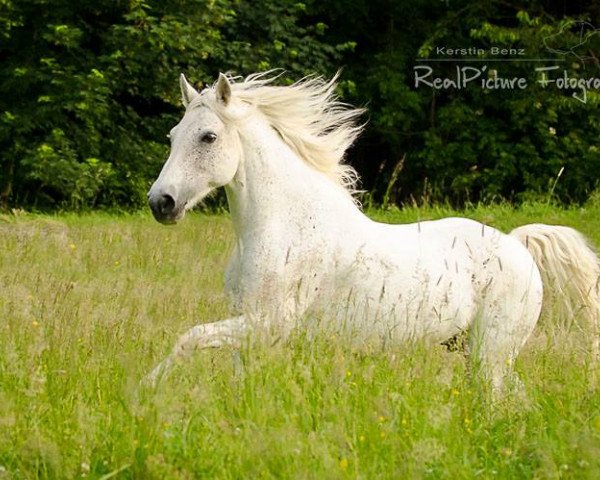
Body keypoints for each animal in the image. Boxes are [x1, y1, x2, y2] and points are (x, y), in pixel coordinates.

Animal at [146, 71, 600, 394]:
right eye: (171, 136)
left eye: (208, 136)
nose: (160, 203)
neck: (284, 228)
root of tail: (516, 244)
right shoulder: (251, 327)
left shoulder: (267, 323)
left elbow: (188, 339)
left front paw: (146, 389)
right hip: (473, 349)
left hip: (491, 353)